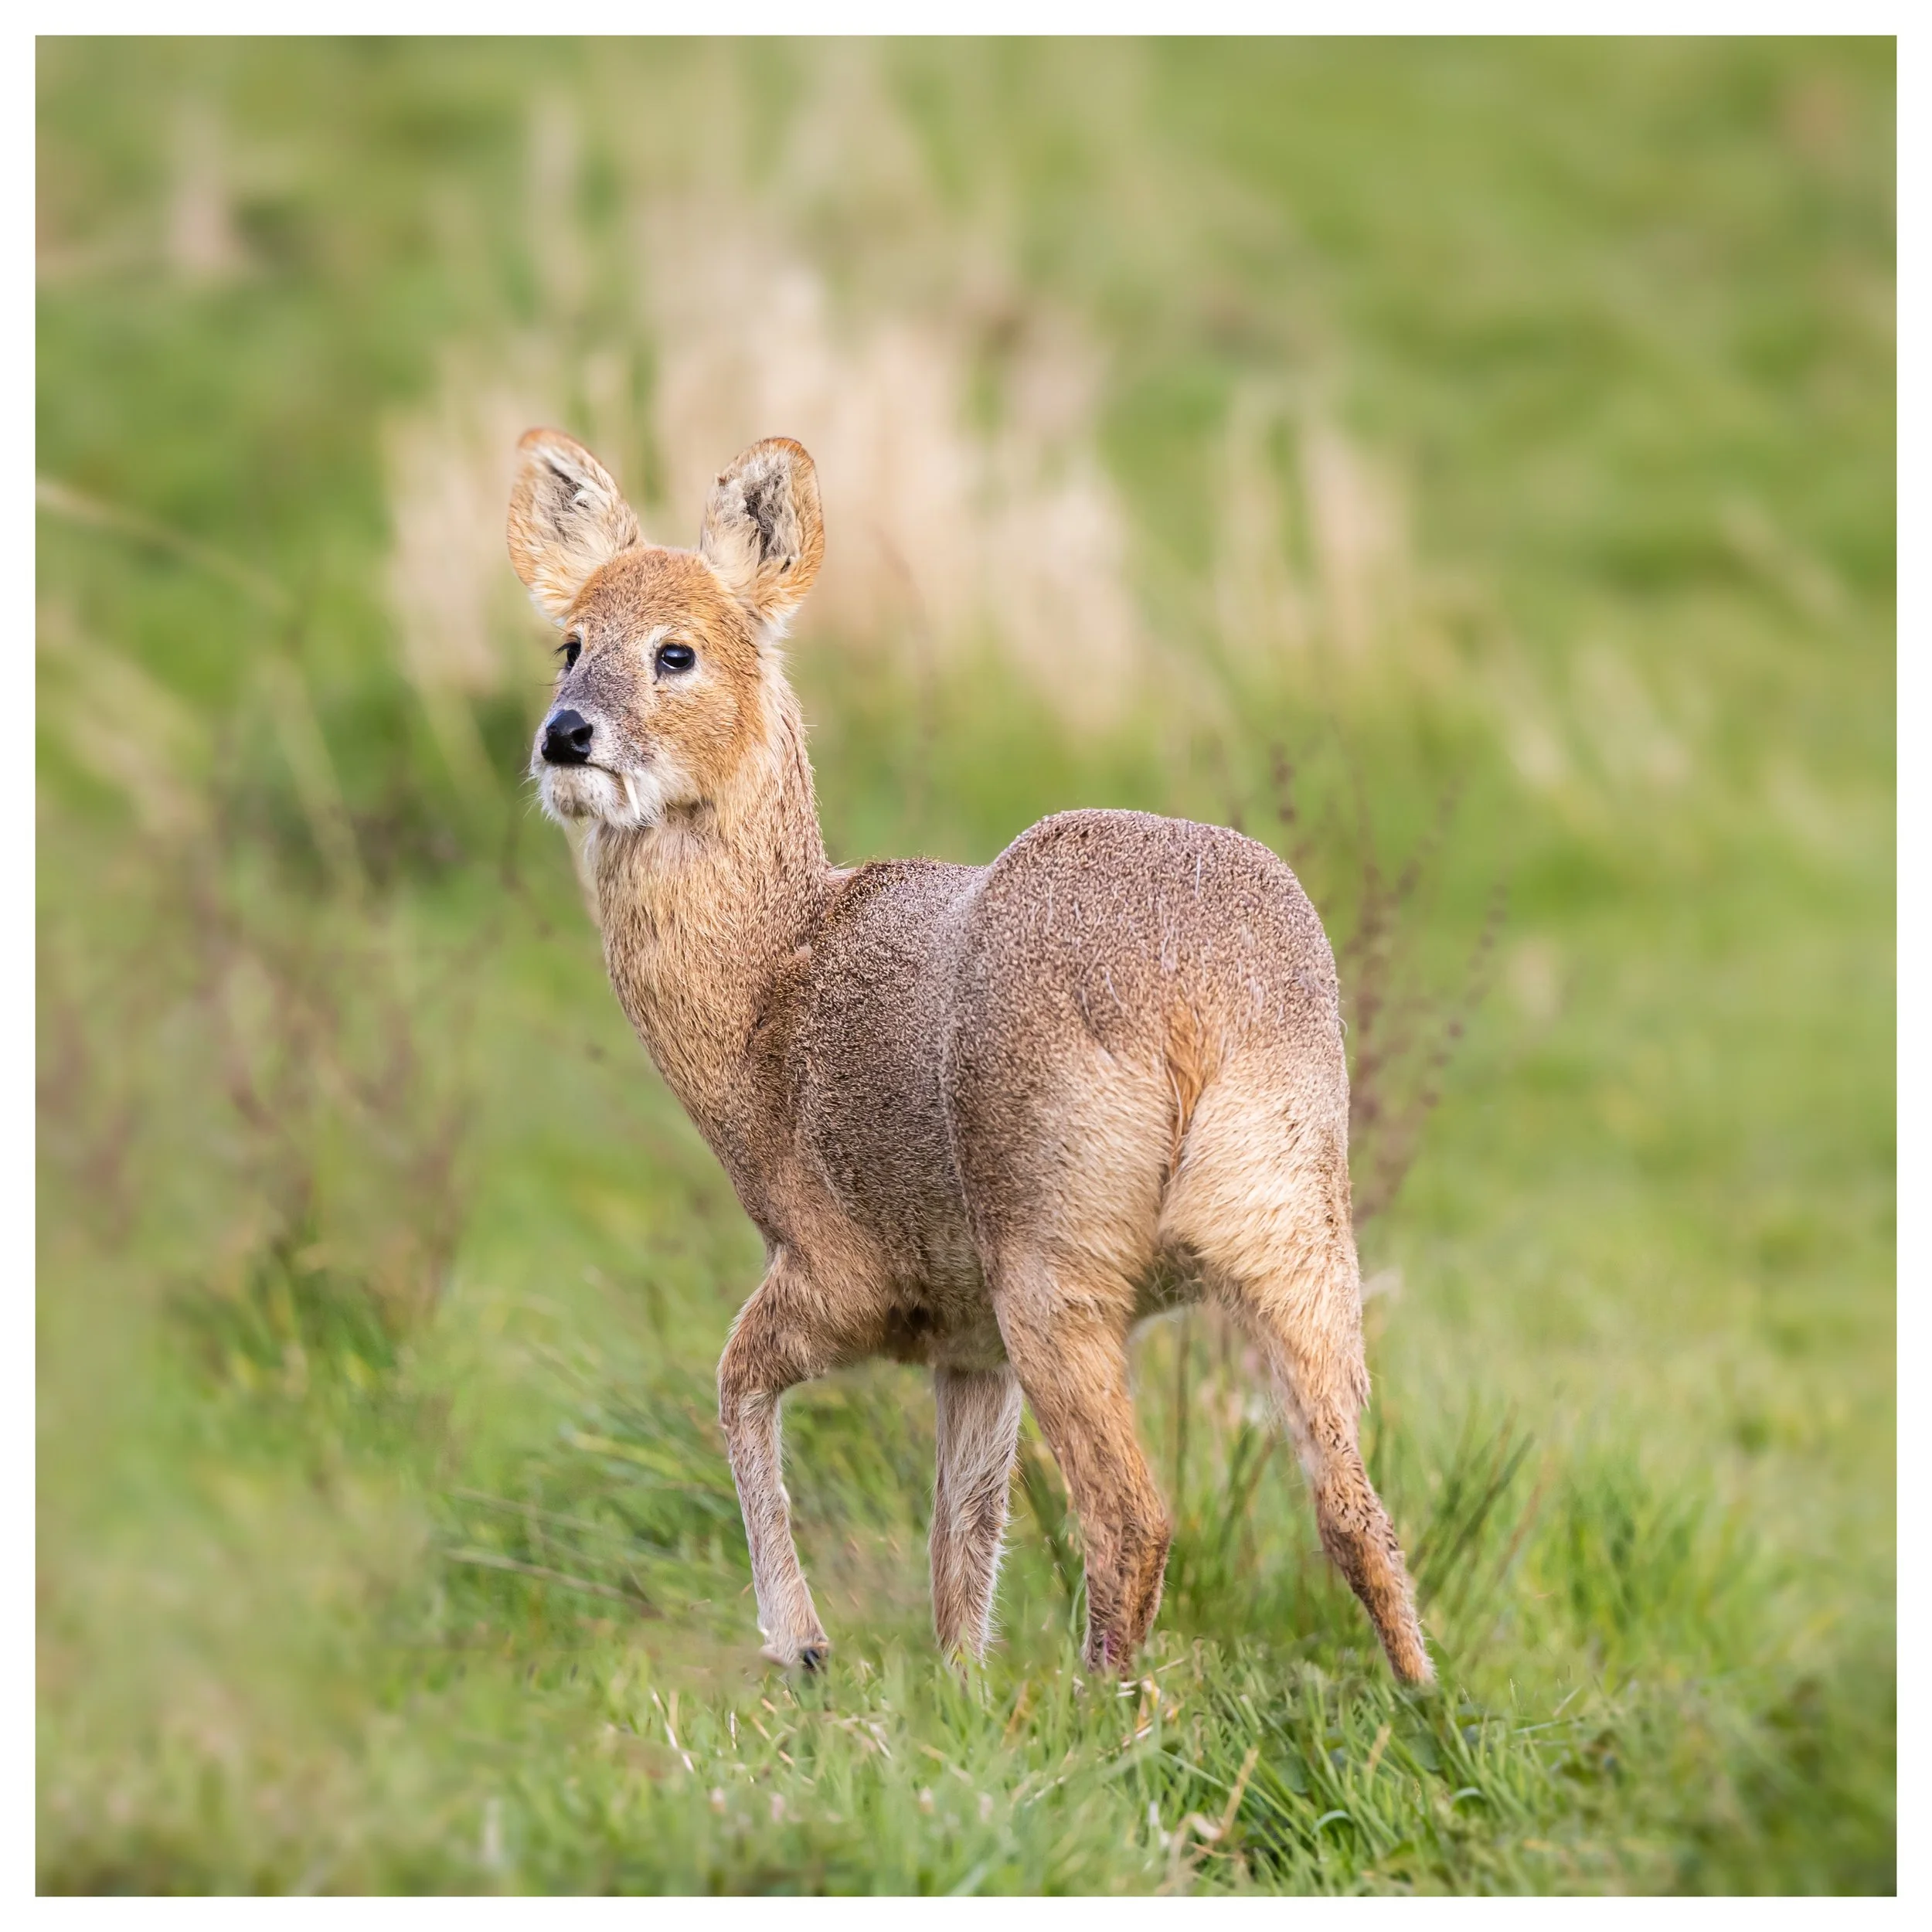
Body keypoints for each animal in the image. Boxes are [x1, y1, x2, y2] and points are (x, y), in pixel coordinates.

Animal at [506, 429, 1432, 1686]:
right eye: (568, 642)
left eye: (675, 651)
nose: (565, 735)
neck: (764, 1003)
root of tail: (1197, 1000)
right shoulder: (967, 1343)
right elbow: (962, 1540)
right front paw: (957, 1693)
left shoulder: (843, 1269)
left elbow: (736, 1388)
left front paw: (804, 1647)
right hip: (1299, 1235)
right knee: (1353, 1507)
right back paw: (1425, 1701)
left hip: (1056, 1254)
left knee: (1132, 1515)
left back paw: (1095, 1714)